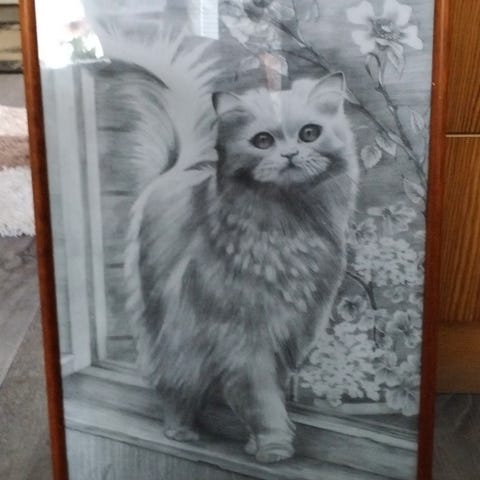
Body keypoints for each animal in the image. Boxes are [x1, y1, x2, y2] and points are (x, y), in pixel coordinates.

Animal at [100, 32, 359, 463]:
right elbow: (261, 399)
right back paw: (180, 430)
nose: (290, 154)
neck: (288, 225)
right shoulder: (245, 339)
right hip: (171, 324)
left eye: (309, 134)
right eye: (263, 141)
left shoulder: (290, 333)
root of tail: (174, 171)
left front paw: (258, 443)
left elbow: (269, 392)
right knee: (171, 378)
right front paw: (273, 447)